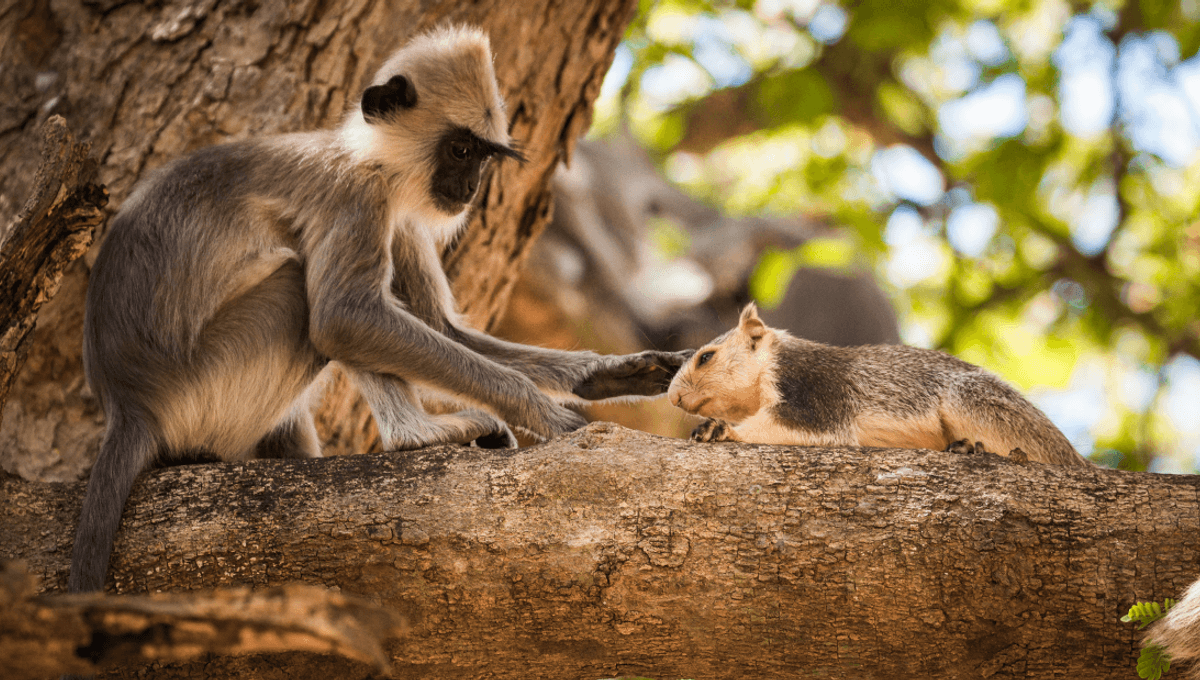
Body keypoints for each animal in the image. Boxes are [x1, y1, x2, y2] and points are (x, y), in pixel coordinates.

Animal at [68, 25, 688, 595]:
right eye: (461, 150)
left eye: (483, 157)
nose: (470, 187)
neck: (367, 155)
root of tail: (127, 403)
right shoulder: (359, 192)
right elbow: (344, 317)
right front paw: (540, 410)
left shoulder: (404, 212)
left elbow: (440, 327)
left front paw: (606, 375)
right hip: (205, 388)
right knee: (311, 295)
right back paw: (417, 437)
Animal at [666, 303, 1090, 466]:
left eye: (706, 357)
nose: (672, 396)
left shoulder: (814, 386)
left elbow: (811, 426)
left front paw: (721, 429)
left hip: (975, 401)